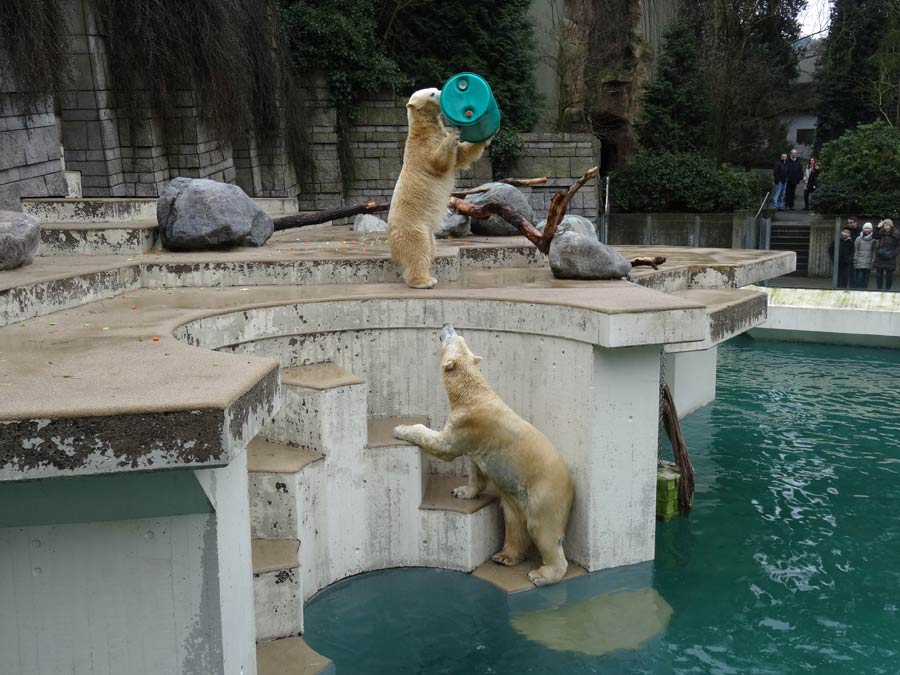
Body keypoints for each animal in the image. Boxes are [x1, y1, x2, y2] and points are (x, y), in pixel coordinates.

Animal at [384, 88, 488, 290]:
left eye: (436, 89)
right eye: (432, 93)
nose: (442, 92)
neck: (424, 129)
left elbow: (462, 155)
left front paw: (487, 134)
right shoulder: (421, 150)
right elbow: (438, 162)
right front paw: (454, 134)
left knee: (430, 248)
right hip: (414, 228)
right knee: (418, 250)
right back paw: (424, 281)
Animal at [396, 324, 576, 588]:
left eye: (453, 337)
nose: (447, 325)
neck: (473, 394)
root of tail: (571, 488)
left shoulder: (466, 423)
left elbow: (444, 446)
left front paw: (401, 428)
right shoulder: (477, 441)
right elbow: (475, 468)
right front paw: (462, 491)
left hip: (544, 494)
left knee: (542, 529)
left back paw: (541, 574)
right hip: (517, 496)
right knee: (513, 521)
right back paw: (505, 556)